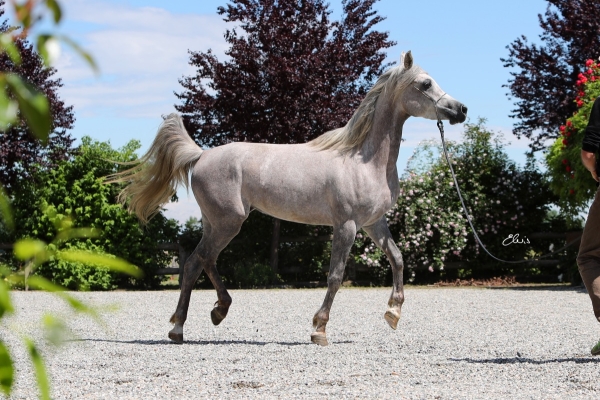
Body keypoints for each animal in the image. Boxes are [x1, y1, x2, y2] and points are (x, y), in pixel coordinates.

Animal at [111, 51, 467, 346]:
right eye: (425, 83)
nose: (460, 109)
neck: (363, 159)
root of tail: (201, 155)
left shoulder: (373, 223)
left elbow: (397, 258)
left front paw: (393, 313)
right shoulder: (347, 225)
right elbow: (336, 275)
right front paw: (319, 329)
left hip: (217, 223)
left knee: (204, 261)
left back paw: (217, 311)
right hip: (228, 223)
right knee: (193, 265)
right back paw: (179, 328)